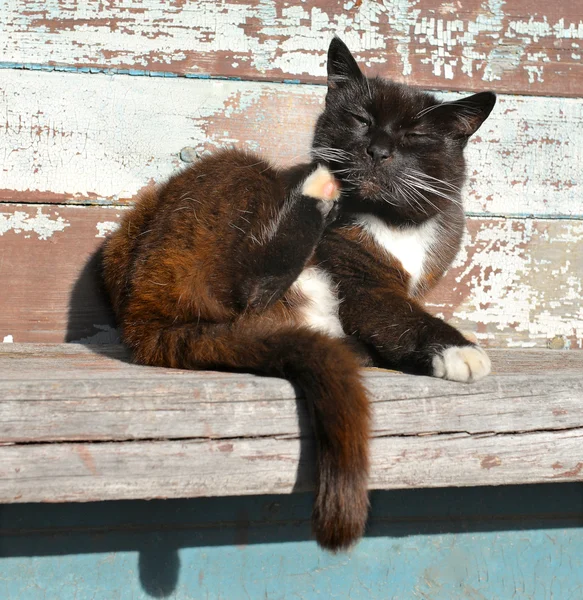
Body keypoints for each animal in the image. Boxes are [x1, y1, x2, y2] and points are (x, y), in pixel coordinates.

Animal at [102, 36, 496, 552]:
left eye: (413, 135)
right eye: (361, 119)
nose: (377, 149)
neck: (394, 224)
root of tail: (141, 318)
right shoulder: (360, 282)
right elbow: (399, 313)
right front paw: (459, 351)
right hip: (235, 175)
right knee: (251, 291)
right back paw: (318, 188)